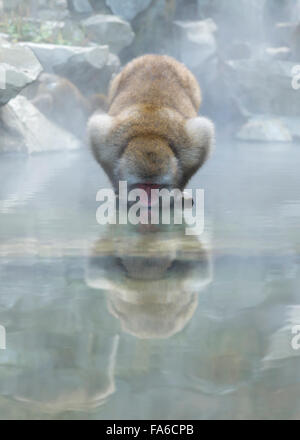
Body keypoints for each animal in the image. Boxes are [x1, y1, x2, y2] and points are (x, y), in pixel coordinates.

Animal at [88, 54, 214, 195]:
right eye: (142, 186)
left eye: (154, 187)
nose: (148, 200)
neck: (149, 133)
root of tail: (157, 57)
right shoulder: (108, 141)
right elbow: (96, 132)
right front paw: (118, 188)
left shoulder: (189, 144)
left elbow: (203, 132)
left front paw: (177, 190)